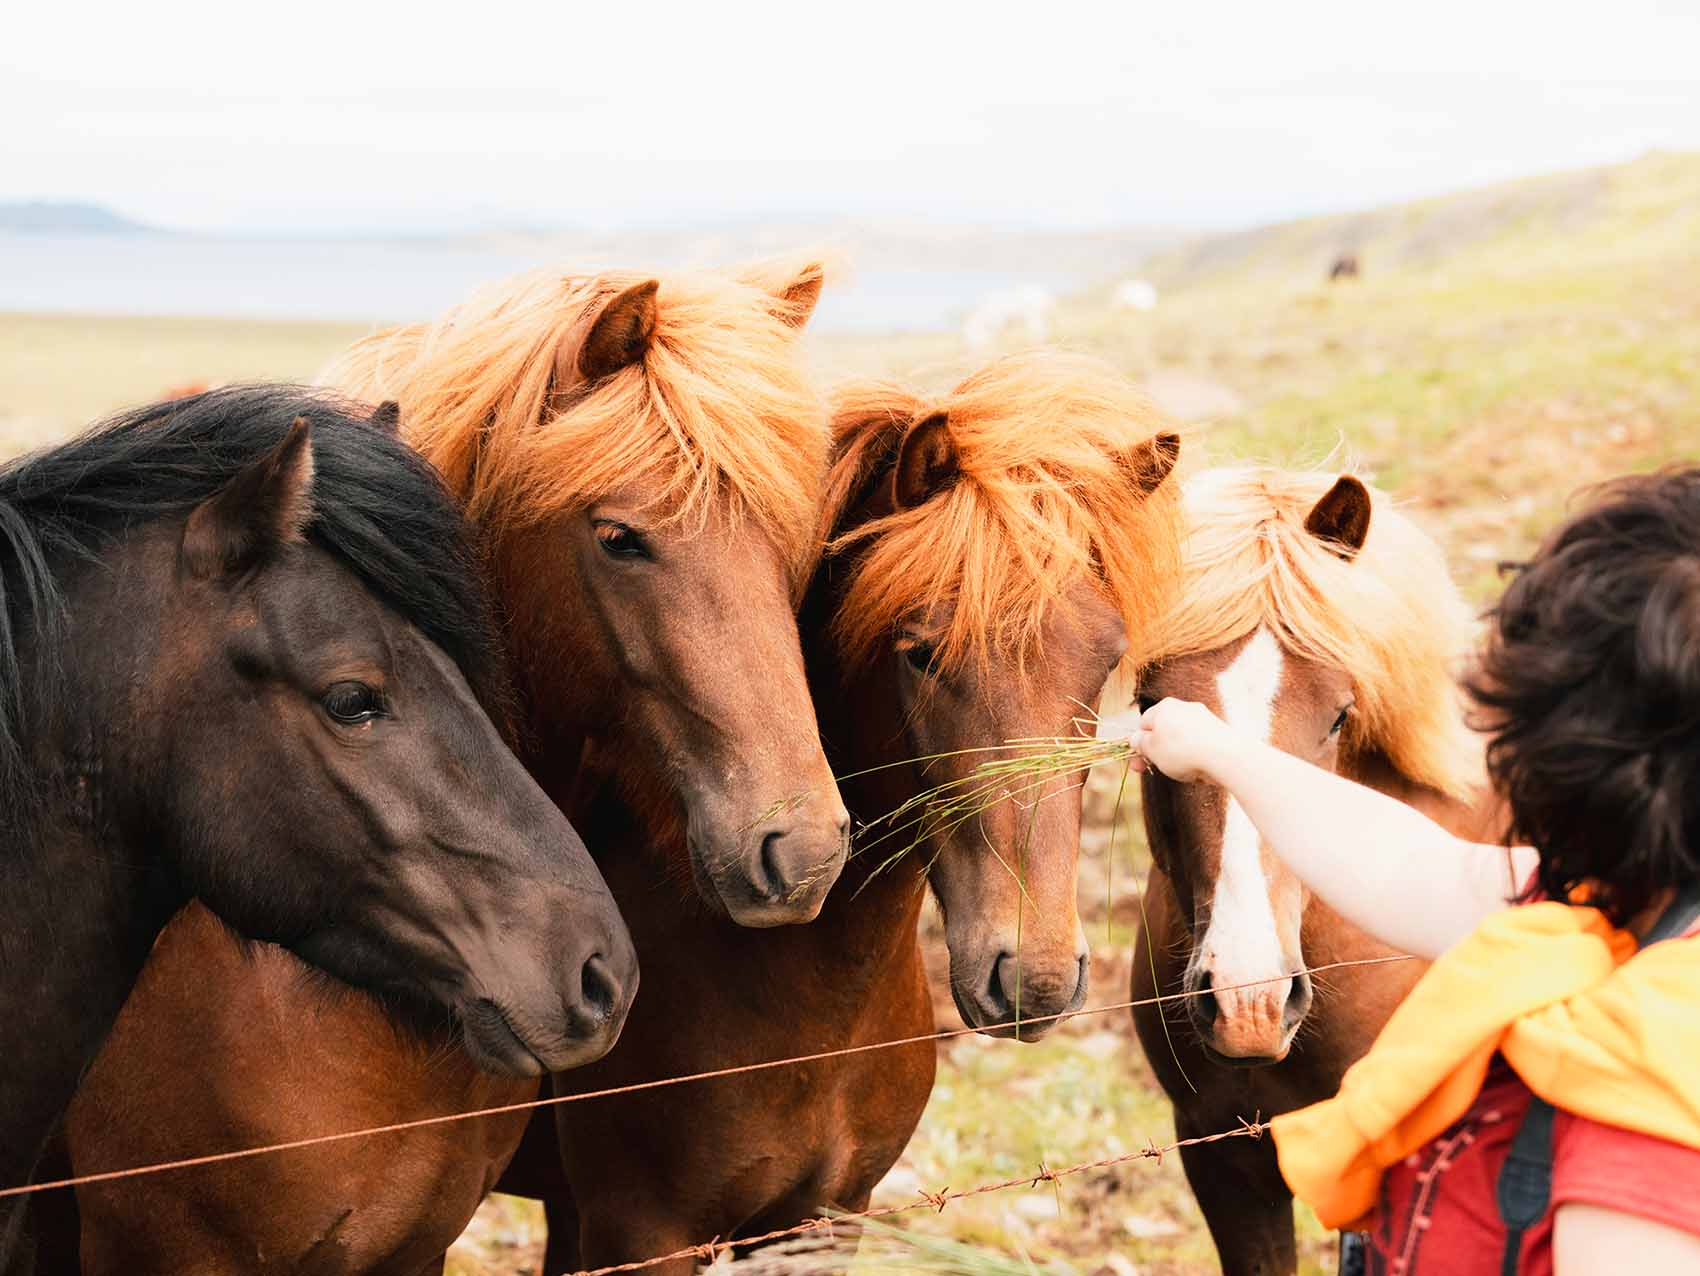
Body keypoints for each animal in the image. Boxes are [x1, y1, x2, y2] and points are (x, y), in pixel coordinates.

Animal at [503, 351, 1190, 1276]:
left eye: (1107, 659)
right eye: (920, 651)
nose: (1037, 978)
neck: (807, 1000)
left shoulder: (828, 1219)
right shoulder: (639, 1232)